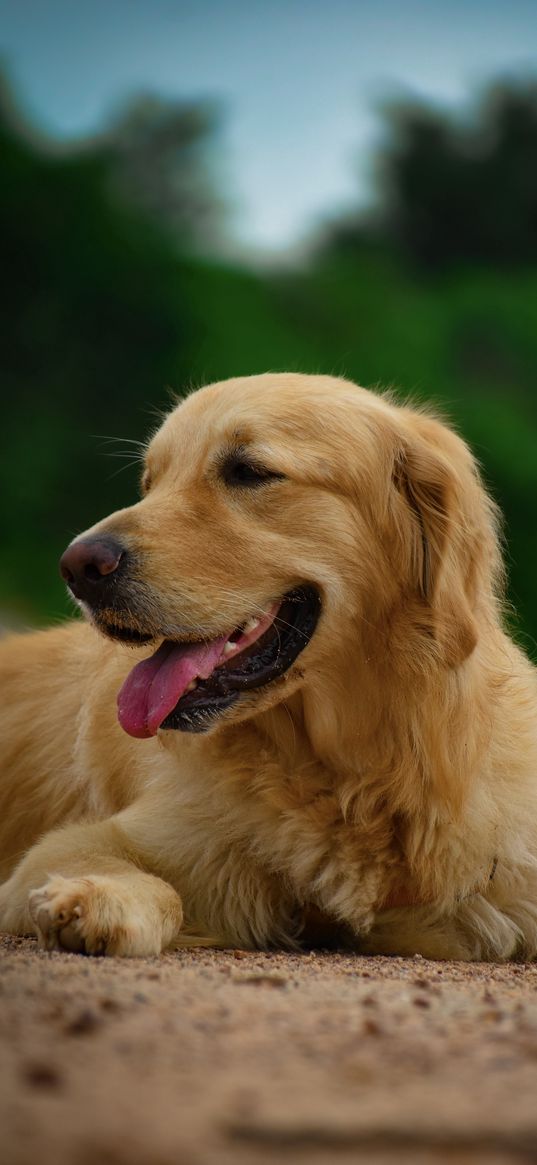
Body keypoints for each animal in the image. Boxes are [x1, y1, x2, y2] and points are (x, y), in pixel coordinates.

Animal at [1, 377, 535, 959]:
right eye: (150, 482)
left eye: (248, 472)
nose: (77, 566)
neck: (348, 771)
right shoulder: (68, 848)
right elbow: (162, 887)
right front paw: (99, 897)